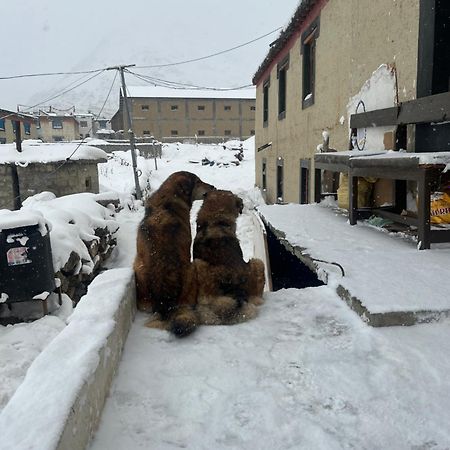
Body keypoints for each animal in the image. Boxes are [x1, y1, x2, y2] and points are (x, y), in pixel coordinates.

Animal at [134, 171, 214, 336]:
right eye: (198, 182)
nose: (213, 187)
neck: (167, 198)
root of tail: (166, 304)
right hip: (192, 267)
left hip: (138, 267)